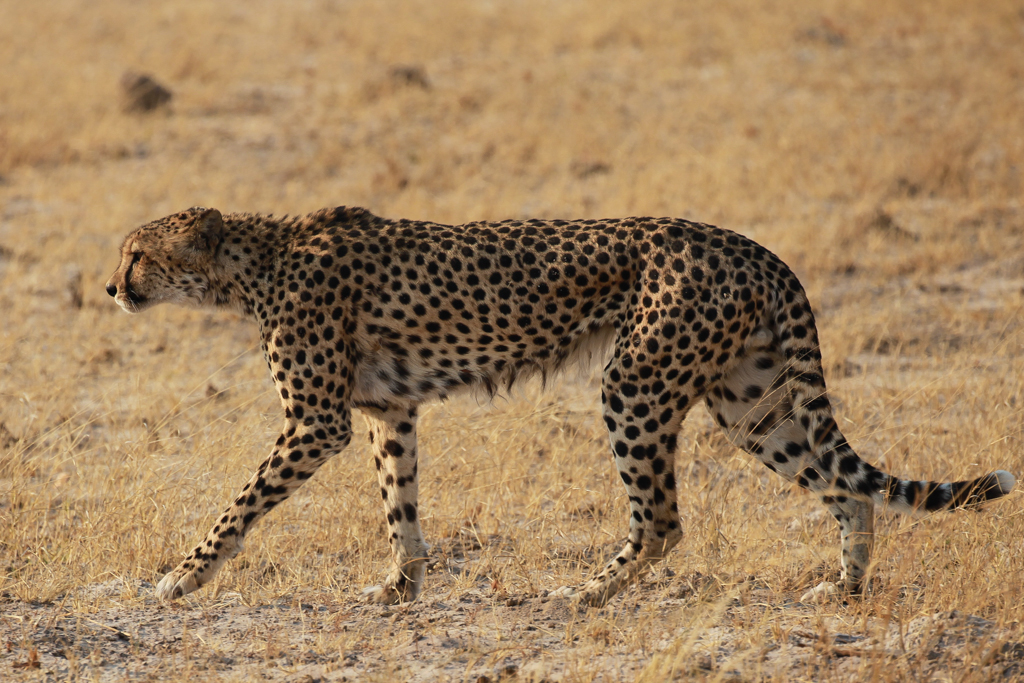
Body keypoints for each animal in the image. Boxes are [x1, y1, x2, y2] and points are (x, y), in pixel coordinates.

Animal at [105, 205, 1015, 606]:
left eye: (137, 253)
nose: (111, 288)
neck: (252, 260)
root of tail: (748, 243)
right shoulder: (387, 412)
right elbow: (399, 503)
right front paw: (401, 583)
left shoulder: (316, 420)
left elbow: (240, 502)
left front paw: (182, 576)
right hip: (750, 401)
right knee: (845, 487)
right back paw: (845, 586)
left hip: (637, 382)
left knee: (664, 520)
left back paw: (588, 591)